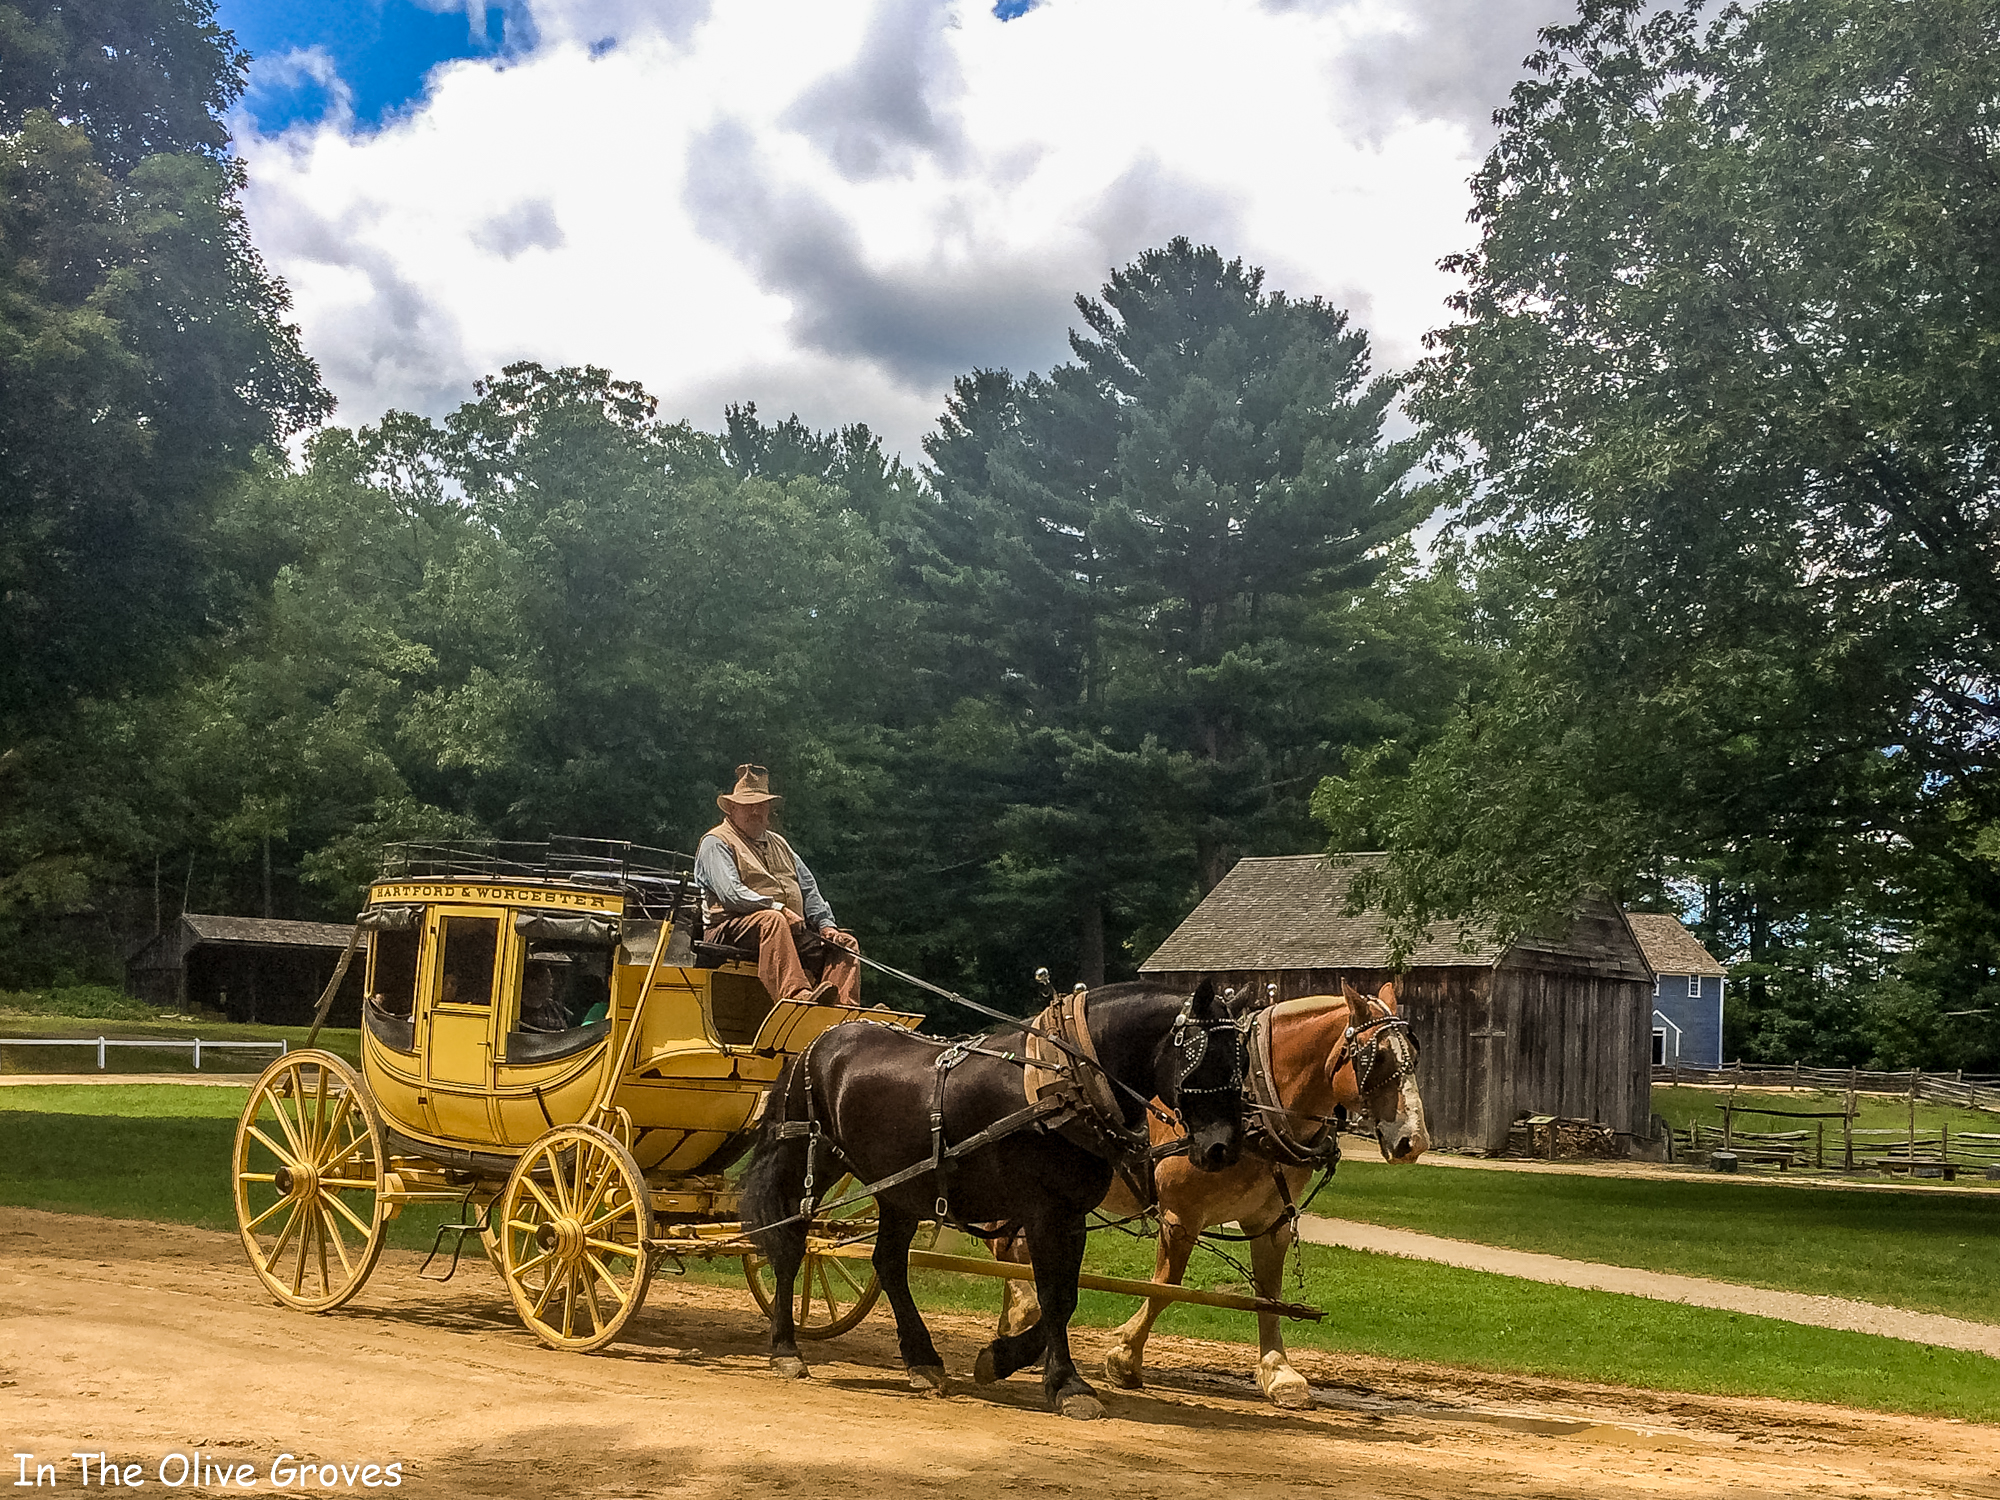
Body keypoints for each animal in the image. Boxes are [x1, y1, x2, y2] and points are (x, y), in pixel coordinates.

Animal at [748, 988, 1248, 1424]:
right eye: (1206, 1059)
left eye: (1241, 1063)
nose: (1222, 1149)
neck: (1063, 1081)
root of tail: (817, 1043)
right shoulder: (1045, 1212)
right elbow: (1054, 1298)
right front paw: (1067, 1386)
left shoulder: (1070, 1215)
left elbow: (1065, 1299)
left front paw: (1000, 1359)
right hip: (805, 1160)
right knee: (789, 1244)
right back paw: (786, 1349)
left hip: (899, 1190)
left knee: (887, 1262)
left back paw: (922, 1360)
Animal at [996, 980, 1432, 1416]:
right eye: (1376, 1058)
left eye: (1414, 1055)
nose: (1413, 1141)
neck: (1256, 1102)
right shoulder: (1180, 1216)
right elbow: (1166, 1286)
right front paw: (1125, 1355)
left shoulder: (1269, 1221)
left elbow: (1268, 1295)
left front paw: (1278, 1372)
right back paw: (1023, 1313)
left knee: (1008, 1246)